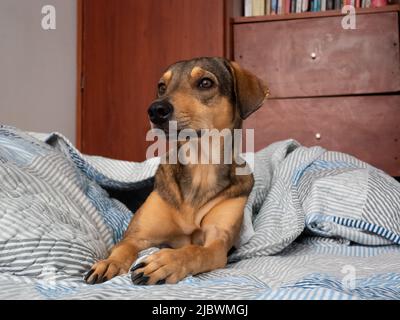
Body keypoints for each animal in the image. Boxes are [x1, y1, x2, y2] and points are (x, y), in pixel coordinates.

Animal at [83, 56, 268, 284]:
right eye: (162, 87)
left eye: (205, 83)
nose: (155, 110)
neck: (200, 166)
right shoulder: (137, 236)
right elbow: (122, 248)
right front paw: (109, 262)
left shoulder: (217, 244)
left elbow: (194, 251)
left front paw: (165, 262)